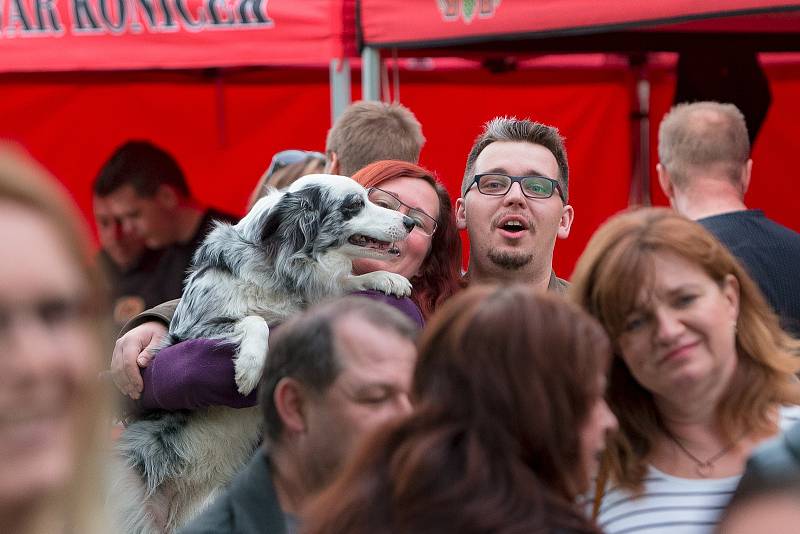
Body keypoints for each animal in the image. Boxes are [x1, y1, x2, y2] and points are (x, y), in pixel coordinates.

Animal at [111, 176, 416, 534]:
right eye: (354, 205)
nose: (410, 222)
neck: (280, 267)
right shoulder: (192, 330)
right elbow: (256, 321)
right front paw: (249, 369)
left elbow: (347, 283)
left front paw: (386, 278)